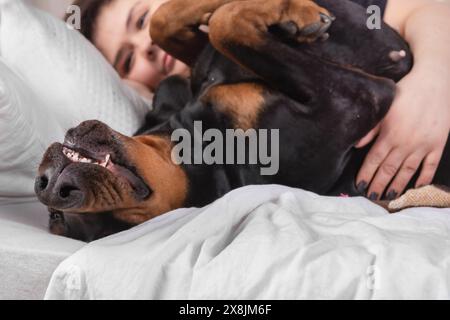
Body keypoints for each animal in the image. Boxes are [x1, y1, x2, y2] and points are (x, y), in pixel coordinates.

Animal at [34, 0, 450, 240]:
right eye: (60, 218)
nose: (52, 185)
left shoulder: (175, 84)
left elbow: (167, 21)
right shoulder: (358, 97)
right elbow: (225, 26)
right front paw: (293, 13)